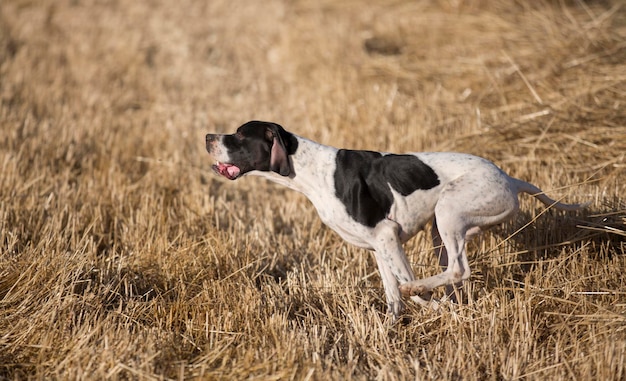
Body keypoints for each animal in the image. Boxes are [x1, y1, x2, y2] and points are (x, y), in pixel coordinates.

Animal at [206, 121, 584, 318]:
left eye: (240, 135)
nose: (208, 136)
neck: (311, 169)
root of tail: (509, 179)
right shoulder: (378, 247)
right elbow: (392, 293)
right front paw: (391, 327)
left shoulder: (387, 235)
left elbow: (403, 283)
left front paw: (426, 302)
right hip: (442, 230)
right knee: (454, 273)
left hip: (449, 212)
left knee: (458, 270)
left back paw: (430, 293)